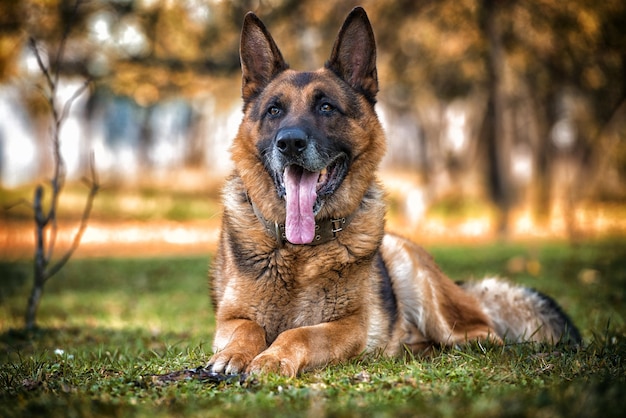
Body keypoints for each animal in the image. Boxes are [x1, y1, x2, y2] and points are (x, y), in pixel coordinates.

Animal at [207, 4, 576, 378]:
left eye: (326, 107)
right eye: (274, 110)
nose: (290, 143)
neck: (301, 252)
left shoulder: (349, 325)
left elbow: (299, 333)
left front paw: (273, 357)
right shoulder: (230, 318)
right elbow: (247, 327)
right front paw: (233, 355)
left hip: (422, 287)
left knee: (483, 333)